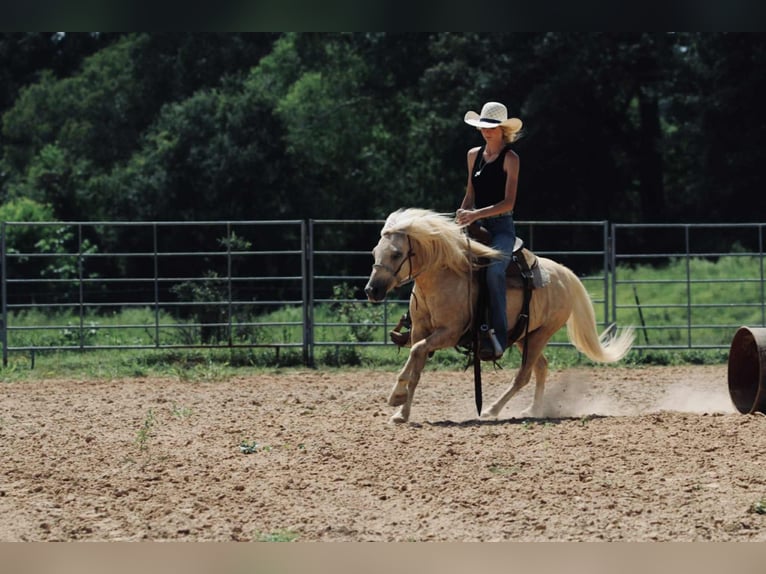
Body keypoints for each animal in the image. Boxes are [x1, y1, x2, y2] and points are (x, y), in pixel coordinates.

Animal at [364, 208, 634, 424]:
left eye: (396, 254)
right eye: (374, 252)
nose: (371, 290)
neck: (443, 277)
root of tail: (564, 274)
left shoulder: (449, 333)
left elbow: (416, 351)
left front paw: (396, 397)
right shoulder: (421, 330)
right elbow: (416, 365)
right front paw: (401, 411)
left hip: (542, 333)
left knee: (524, 375)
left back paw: (491, 410)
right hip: (525, 335)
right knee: (541, 367)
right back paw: (532, 409)